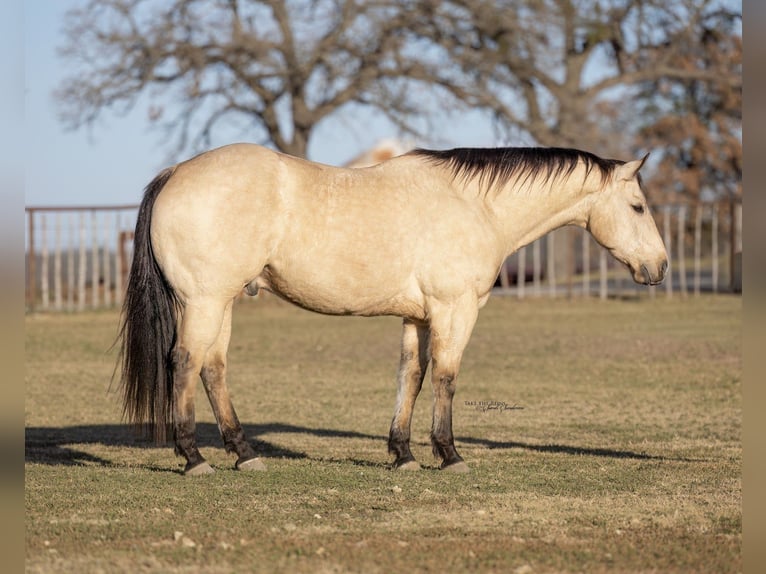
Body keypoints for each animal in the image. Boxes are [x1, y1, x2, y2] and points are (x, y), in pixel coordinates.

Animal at [118, 144, 668, 475]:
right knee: (185, 363)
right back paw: (194, 457)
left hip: (223, 302)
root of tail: (175, 173)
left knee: (213, 369)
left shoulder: (418, 317)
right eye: (638, 207)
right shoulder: (454, 310)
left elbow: (412, 376)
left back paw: (245, 453)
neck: (474, 205)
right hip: (205, 301)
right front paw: (449, 454)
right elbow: (446, 377)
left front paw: (402, 454)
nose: (659, 266)